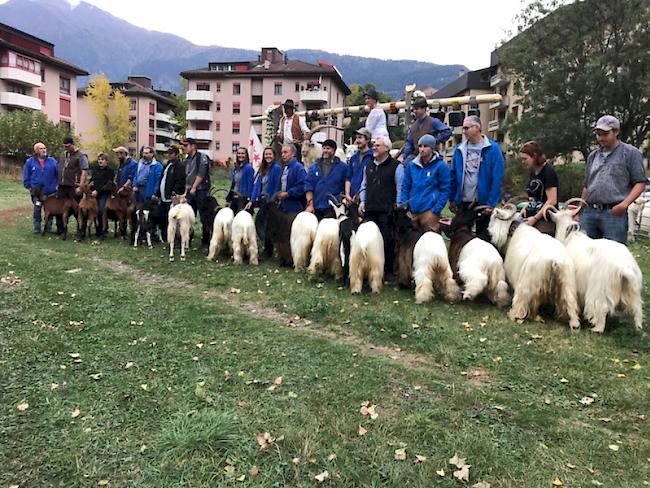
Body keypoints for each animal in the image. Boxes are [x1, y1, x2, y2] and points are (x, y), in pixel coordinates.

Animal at [548, 200, 644, 334]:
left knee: (601, 308)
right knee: (637, 308)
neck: (570, 237)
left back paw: (596, 329)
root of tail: (625, 268)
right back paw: (639, 330)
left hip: (600, 289)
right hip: (633, 289)